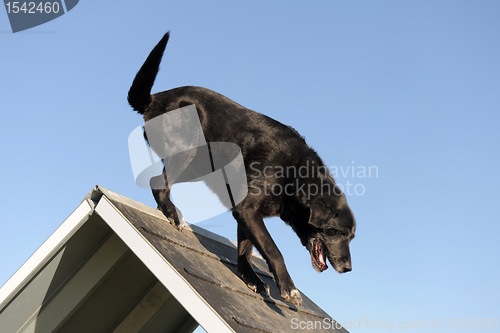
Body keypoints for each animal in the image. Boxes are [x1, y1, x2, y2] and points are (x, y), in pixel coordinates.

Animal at [129, 32, 356, 304]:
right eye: (339, 233)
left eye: (351, 237)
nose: (348, 268)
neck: (295, 176)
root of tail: (155, 99)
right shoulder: (248, 209)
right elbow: (273, 250)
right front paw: (289, 288)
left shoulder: (245, 213)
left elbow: (246, 251)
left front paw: (252, 279)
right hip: (188, 152)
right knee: (158, 184)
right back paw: (174, 215)